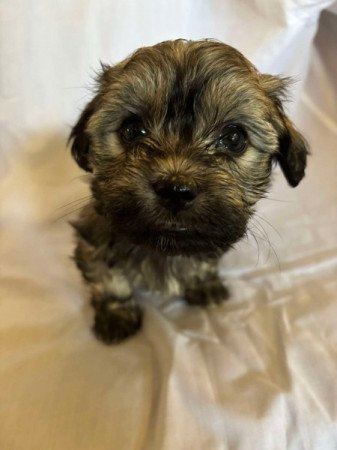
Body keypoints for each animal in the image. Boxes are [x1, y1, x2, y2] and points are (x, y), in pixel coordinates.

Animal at [69, 40, 308, 344]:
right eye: (132, 129)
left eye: (234, 138)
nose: (176, 190)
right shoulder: (95, 234)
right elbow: (107, 276)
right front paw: (116, 313)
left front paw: (202, 282)